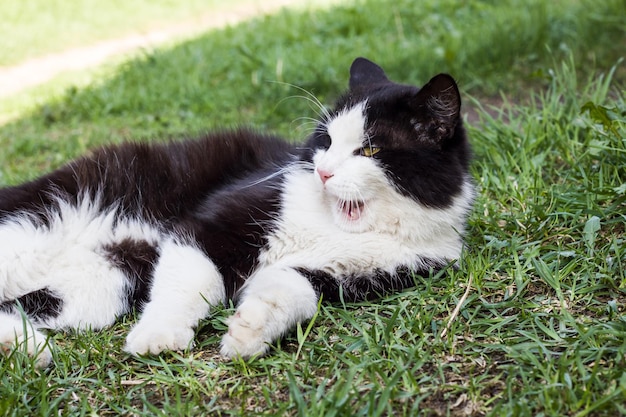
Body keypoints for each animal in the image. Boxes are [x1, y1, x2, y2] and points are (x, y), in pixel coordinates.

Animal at [0, 57, 470, 366]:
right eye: (326, 141)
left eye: (370, 150)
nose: (322, 171)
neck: (337, 226)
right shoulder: (215, 220)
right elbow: (193, 278)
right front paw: (160, 334)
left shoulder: (360, 274)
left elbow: (296, 289)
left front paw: (251, 330)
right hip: (44, 216)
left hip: (101, 283)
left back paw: (23, 348)